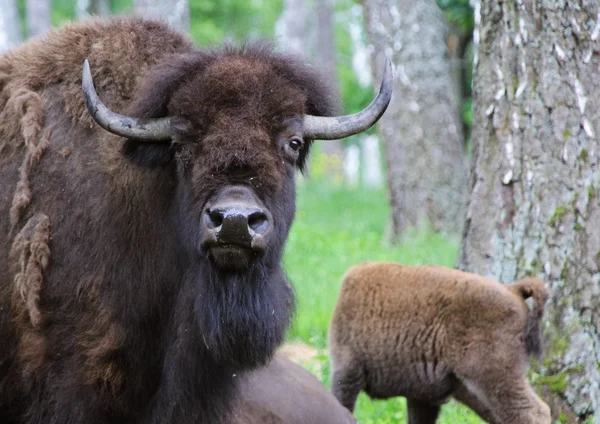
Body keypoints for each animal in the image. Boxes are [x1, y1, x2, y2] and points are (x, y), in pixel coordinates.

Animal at [330, 262, 552, 424]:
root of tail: (513, 290)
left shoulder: (347, 370)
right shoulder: (422, 397)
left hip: (495, 377)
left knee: (533, 412)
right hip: (472, 389)